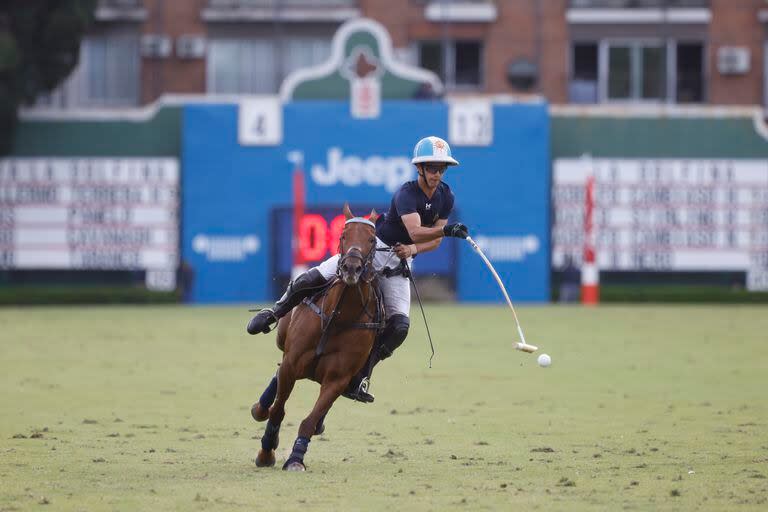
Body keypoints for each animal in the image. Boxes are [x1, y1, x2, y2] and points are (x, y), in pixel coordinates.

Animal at [252, 204, 384, 472]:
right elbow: (278, 410)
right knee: (277, 374)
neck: (338, 316)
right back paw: (260, 408)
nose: (351, 268)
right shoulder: (292, 364)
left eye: (372, 239)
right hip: (283, 340)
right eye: (342, 235)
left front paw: (295, 459)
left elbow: (310, 421)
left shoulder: (337, 379)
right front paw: (266, 452)